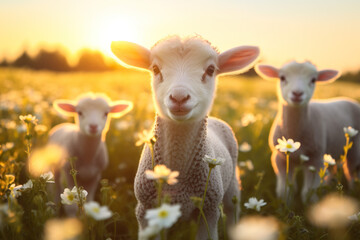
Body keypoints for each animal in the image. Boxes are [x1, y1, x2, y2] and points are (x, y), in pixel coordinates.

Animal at [111, 34, 260, 239]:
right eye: (155, 68)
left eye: (211, 70)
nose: (179, 97)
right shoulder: (146, 210)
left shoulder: (209, 210)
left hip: (231, 187)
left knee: (232, 212)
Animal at [255, 61, 360, 202]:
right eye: (282, 77)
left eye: (313, 80)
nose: (297, 93)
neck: (295, 135)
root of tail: (347, 99)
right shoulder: (279, 158)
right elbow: (285, 191)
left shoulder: (315, 159)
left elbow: (308, 192)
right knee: (333, 170)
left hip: (354, 150)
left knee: (351, 173)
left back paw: (352, 192)